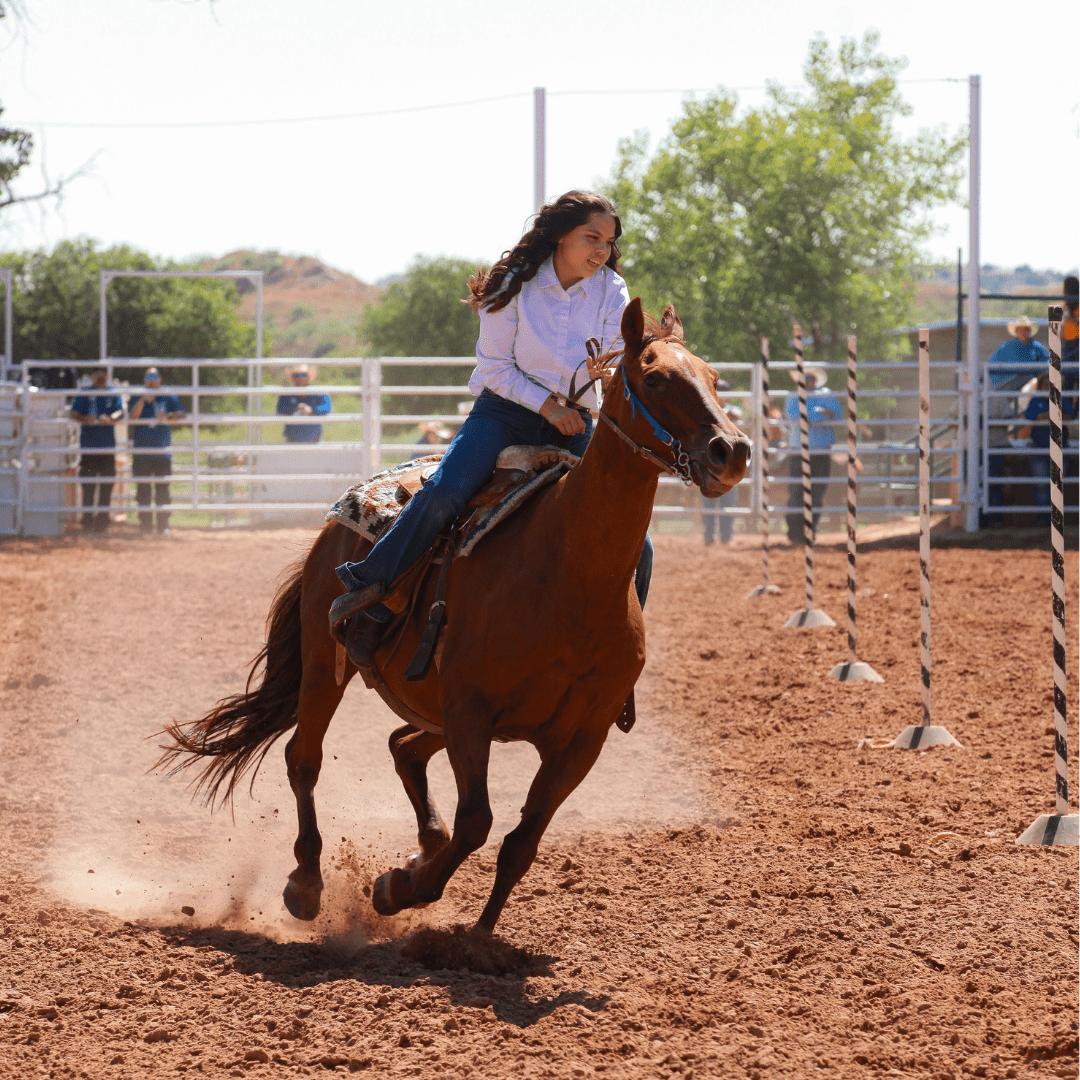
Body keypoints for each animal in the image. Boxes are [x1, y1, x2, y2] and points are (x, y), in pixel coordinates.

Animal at [162, 300, 751, 933]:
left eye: (715, 378)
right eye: (656, 377)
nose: (732, 450)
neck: (571, 577)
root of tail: (336, 524)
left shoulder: (580, 740)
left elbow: (521, 842)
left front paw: (475, 934)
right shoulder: (470, 709)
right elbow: (478, 822)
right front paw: (399, 888)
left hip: (430, 708)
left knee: (403, 747)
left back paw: (422, 842)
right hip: (326, 665)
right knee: (305, 759)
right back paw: (307, 882)